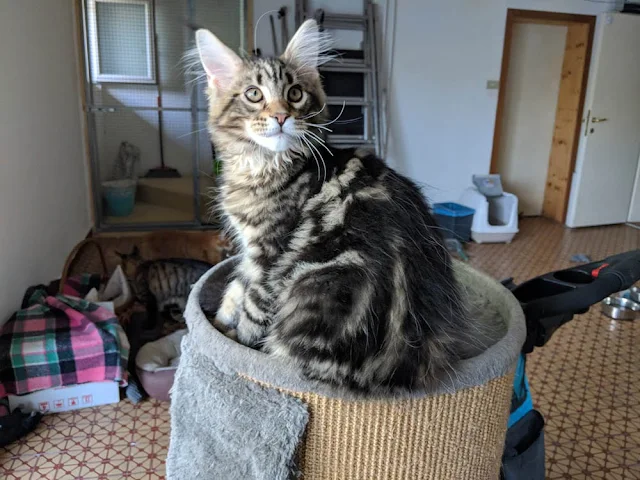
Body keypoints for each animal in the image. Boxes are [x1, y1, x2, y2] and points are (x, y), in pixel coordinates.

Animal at [196, 20, 476, 392]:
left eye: (295, 94)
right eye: (254, 94)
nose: (281, 117)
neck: (262, 166)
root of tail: (401, 365)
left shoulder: (270, 256)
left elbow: (251, 309)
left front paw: (232, 341)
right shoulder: (249, 251)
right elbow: (235, 288)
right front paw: (216, 322)